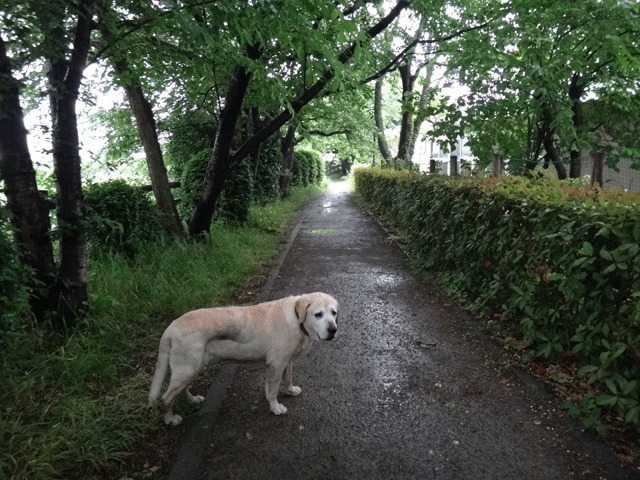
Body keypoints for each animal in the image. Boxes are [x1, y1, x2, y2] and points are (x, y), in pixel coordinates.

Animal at [149, 292, 338, 424]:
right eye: (318, 314)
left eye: (334, 313)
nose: (333, 330)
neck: (297, 318)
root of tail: (170, 328)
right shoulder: (276, 365)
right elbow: (273, 391)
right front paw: (275, 408)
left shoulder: (287, 362)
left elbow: (288, 379)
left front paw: (290, 390)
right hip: (187, 370)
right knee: (165, 399)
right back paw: (170, 419)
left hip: (190, 370)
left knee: (181, 390)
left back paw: (192, 400)